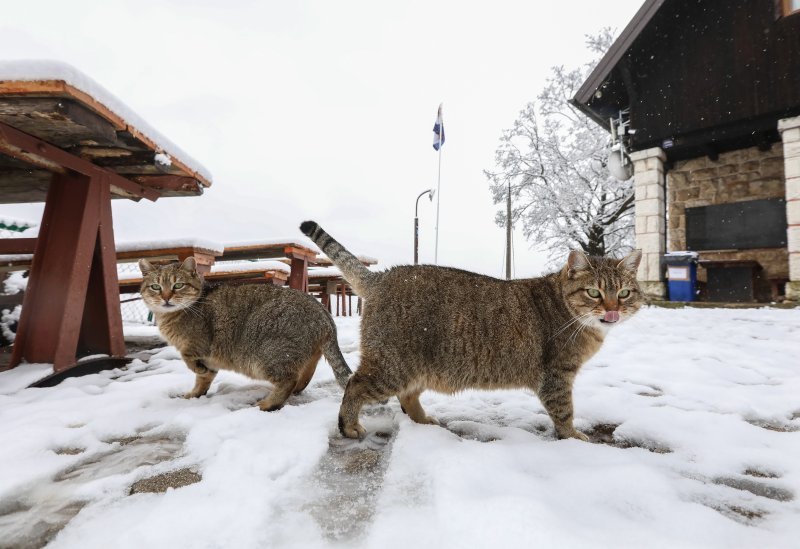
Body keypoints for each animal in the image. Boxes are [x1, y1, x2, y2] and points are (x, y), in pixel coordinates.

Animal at [139, 260, 352, 408]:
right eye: (156, 286)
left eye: (178, 285)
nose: (166, 297)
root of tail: (323, 312)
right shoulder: (209, 359)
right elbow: (203, 380)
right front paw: (194, 395)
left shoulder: (198, 346)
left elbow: (190, 360)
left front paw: (198, 371)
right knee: (302, 380)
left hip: (267, 356)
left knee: (288, 381)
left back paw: (268, 404)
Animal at [300, 220, 644, 438]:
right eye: (594, 293)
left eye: (624, 293)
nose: (612, 310)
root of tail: (381, 276)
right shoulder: (557, 376)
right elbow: (564, 412)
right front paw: (573, 437)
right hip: (391, 366)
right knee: (354, 385)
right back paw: (348, 426)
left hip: (417, 368)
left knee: (407, 396)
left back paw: (424, 422)